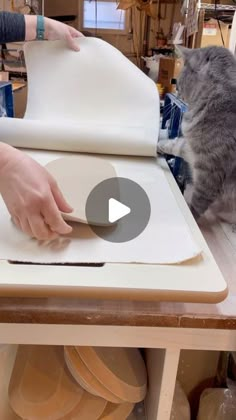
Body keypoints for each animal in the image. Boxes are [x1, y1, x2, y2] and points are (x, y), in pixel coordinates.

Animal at [157, 45, 236, 223]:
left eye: (178, 80)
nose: (177, 91)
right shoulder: (190, 148)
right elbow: (174, 144)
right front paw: (156, 142)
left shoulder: (210, 172)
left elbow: (198, 203)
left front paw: (190, 216)